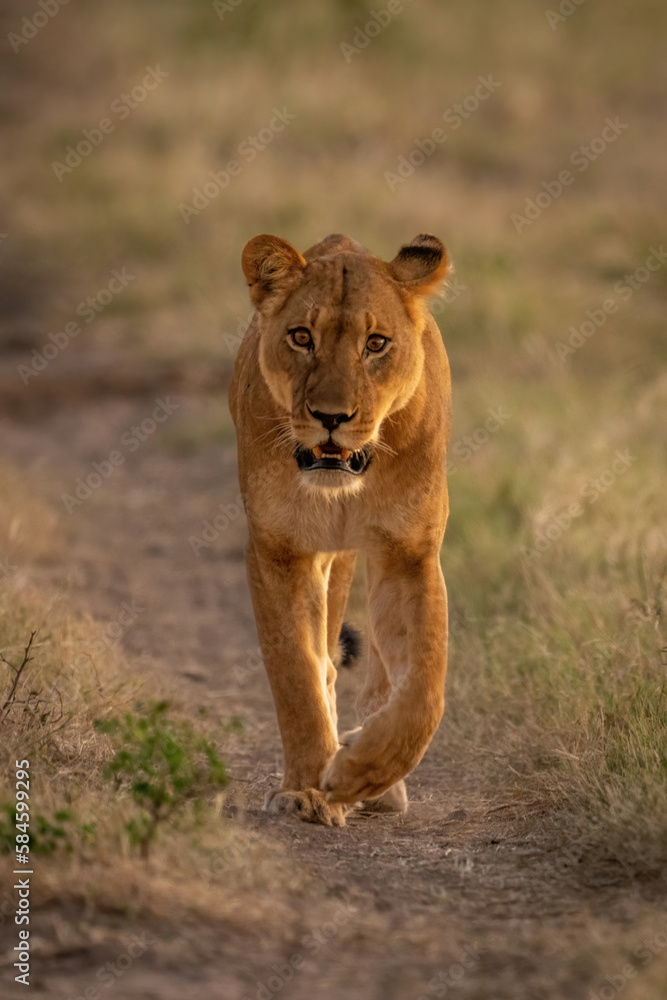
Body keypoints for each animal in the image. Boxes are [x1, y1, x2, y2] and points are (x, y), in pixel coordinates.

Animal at [228, 232, 451, 826]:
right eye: (302, 337)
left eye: (376, 344)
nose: (332, 417)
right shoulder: (279, 550)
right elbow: (296, 675)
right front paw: (308, 789)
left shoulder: (409, 555)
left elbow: (424, 690)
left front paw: (361, 773)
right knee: (325, 661)